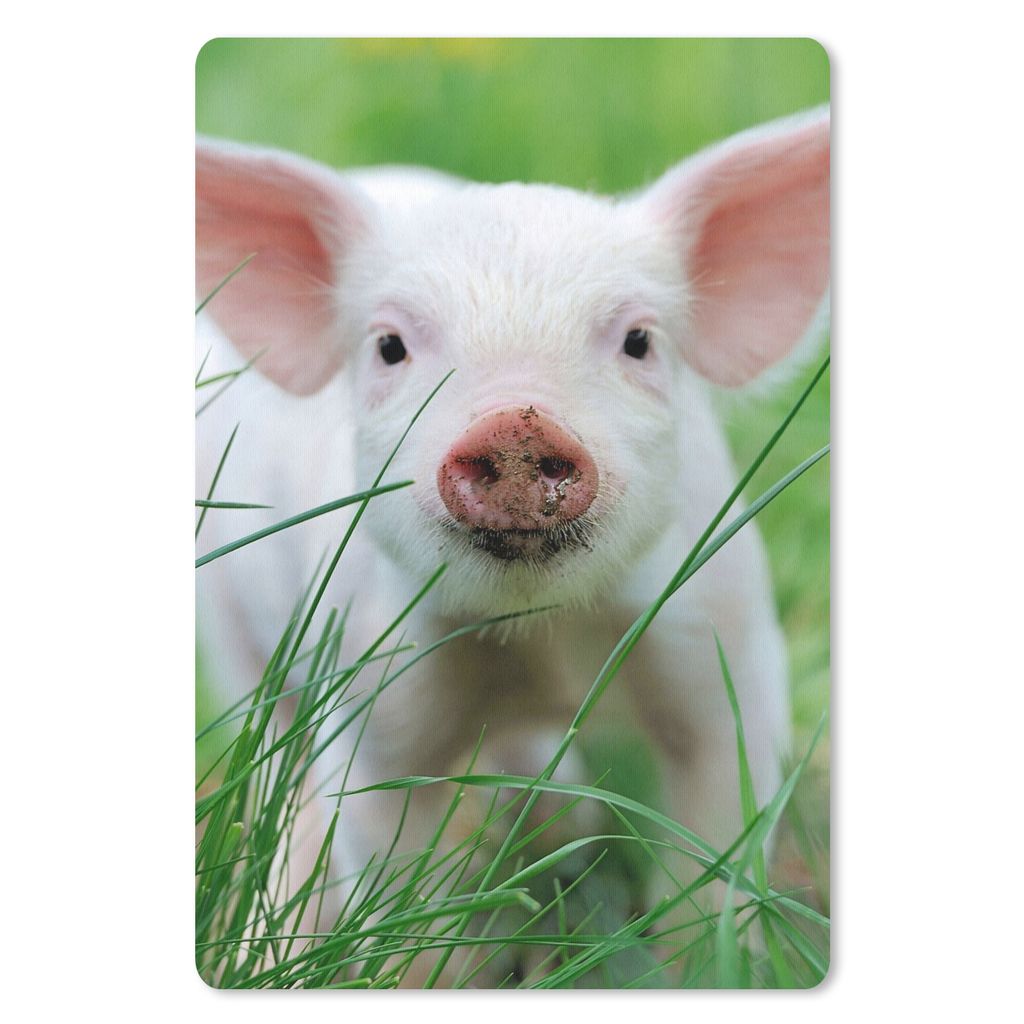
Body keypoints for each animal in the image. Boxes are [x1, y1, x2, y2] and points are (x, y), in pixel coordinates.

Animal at [195, 106, 829, 981]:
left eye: (639, 340)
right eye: (389, 347)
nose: (517, 424)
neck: (541, 637)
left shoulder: (727, 648)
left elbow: (713, 844)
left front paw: (707, 972)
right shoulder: (368, 689)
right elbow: (388, 861)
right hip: (231, 628)